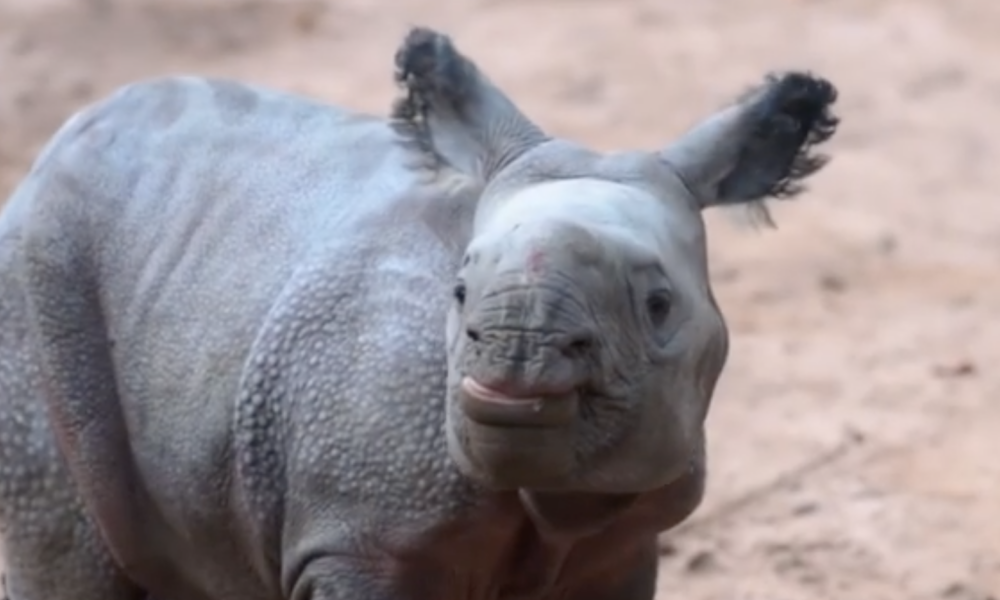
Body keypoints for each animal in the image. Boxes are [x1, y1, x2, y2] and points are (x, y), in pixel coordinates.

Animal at [0, 27, 836, 600]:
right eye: (459, 294)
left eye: (659, 306)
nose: (516, 350)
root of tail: (49, 154)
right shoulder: (358, 542)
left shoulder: (622, 543)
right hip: (35, 278)